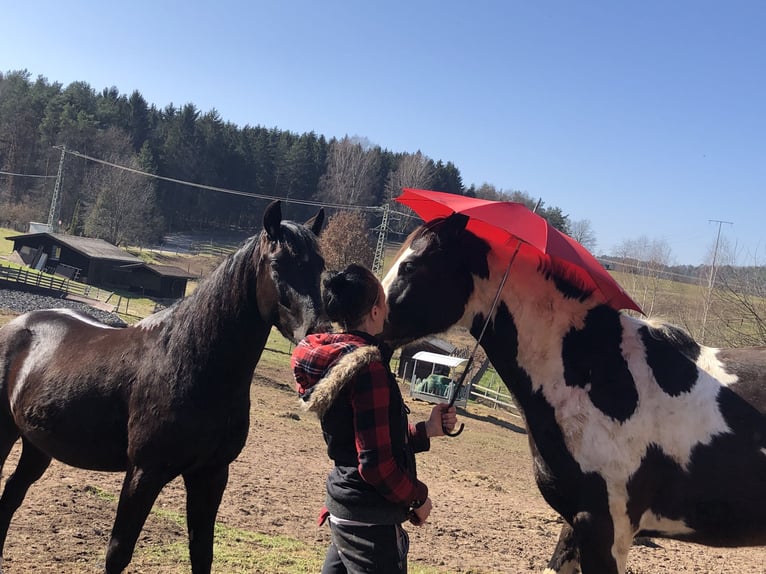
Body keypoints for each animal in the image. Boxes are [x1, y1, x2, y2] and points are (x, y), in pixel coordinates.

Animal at [0, 200, 328, 572]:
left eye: (320, 266)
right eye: (277, 264)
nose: (318, 334)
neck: (190, 360)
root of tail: (19, 325)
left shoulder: (211, 474)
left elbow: (202, 553)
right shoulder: (145, 473)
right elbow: (118, 552)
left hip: (37, 445)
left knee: (10, 497)